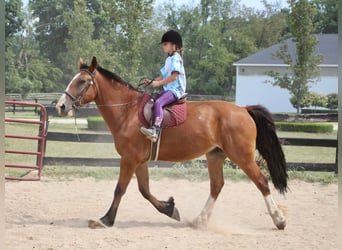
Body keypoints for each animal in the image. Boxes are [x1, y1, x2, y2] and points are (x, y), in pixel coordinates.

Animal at [56, 56, 288, 230]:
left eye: (81, 82)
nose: (61, 106)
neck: (128, 112)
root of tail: (243, 110)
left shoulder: (129, 159)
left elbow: (120, 189)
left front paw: (105, 219)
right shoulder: (139, 161)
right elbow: (144, 190)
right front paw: (170, 208)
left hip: (241, 156)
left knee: (261, 182)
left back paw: (279, 219)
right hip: (215, 155)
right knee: (217, 185)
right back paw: (200, 220)